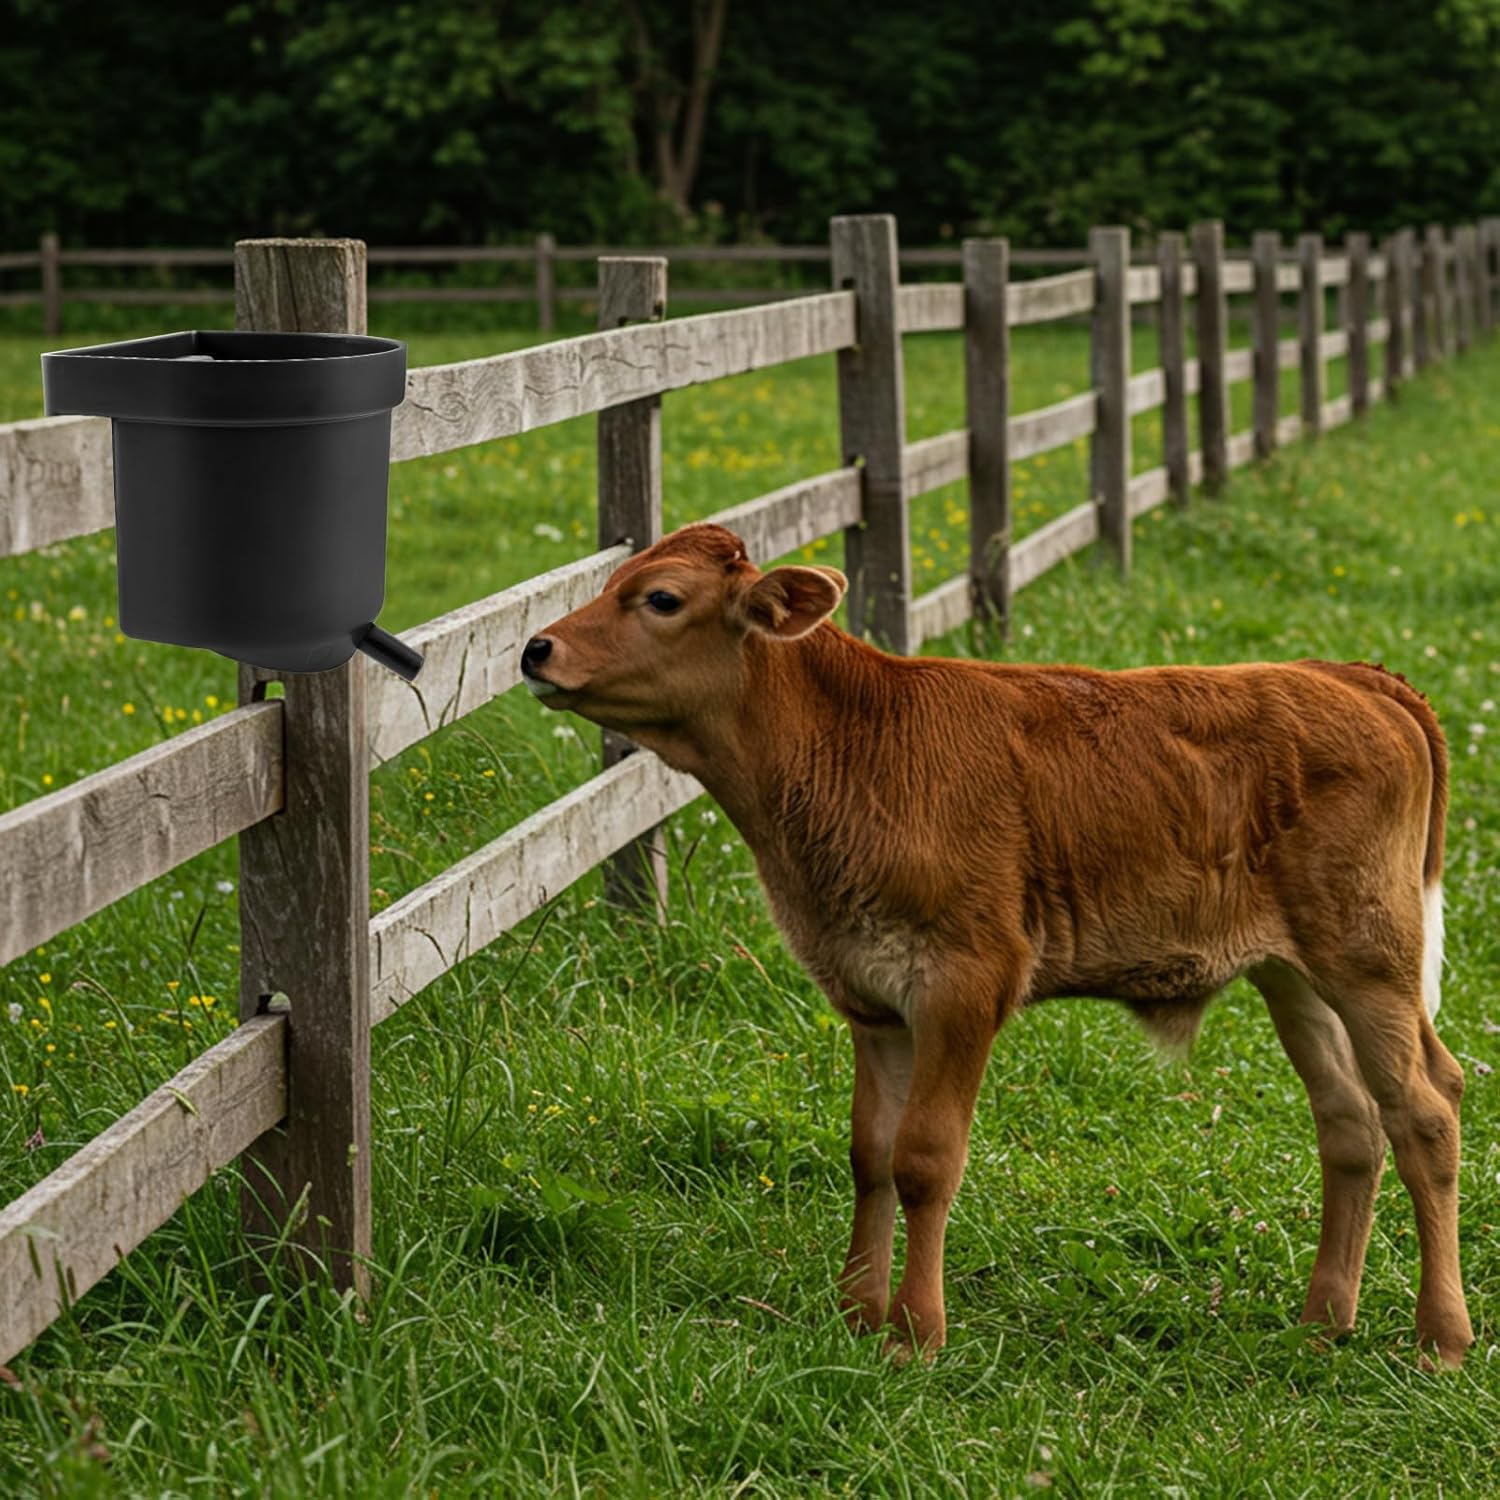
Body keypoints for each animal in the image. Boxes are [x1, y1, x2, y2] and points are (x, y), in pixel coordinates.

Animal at [520, 521, 1473, 1366]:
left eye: (660, 598)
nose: (534, 648)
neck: (849, 748)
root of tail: (1347, 674)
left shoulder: (964, 982)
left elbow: (925, 1158)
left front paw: (915, 1333)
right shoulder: (871, 995)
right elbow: (869, 1155)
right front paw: (856, 1314)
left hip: (1368, 958)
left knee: (1424, 1112)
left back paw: (1441, 1339)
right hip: (1294, 973)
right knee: (1351, 1120)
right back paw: (1323, 1321)